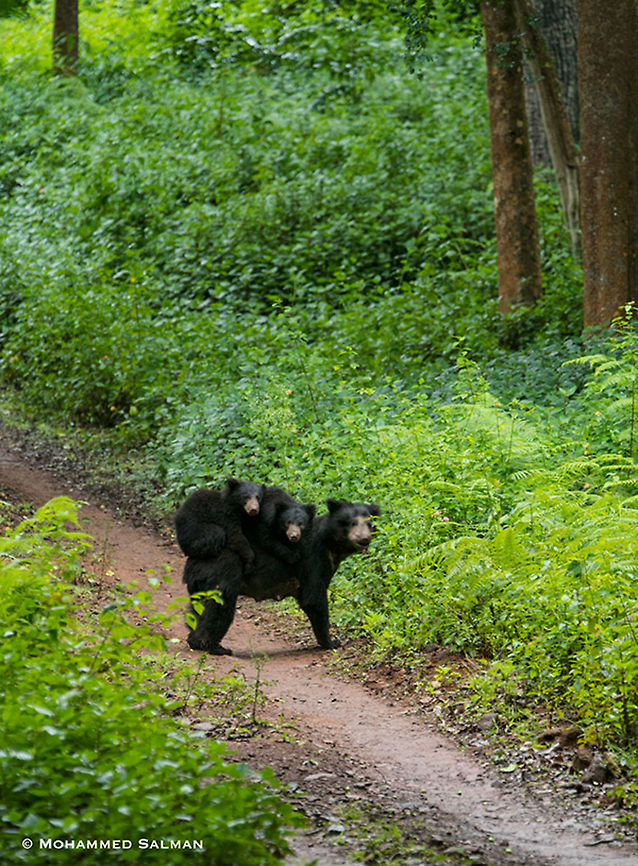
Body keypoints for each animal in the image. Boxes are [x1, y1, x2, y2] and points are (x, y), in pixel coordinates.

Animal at [184, 498, 381, 655]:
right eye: (352, 523)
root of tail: (195, 558)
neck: (332, 548)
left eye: (369, 523)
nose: (364, 539)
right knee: (220, 604)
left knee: (198, 608)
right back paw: (211, 645)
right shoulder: (312, 561)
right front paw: (332, 642)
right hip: (225, 568)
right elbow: (314, 599)